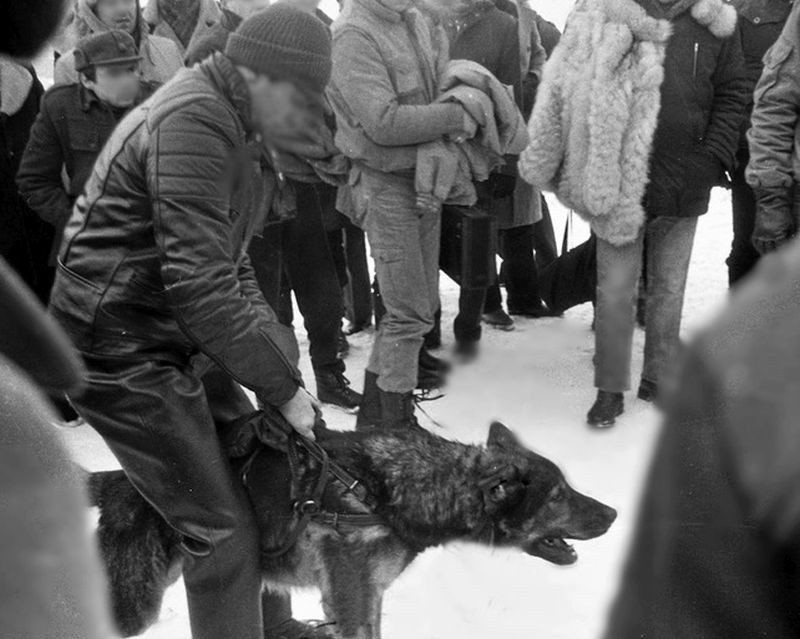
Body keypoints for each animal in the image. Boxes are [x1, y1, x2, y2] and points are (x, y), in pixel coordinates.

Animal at [92, 422, 620, 636]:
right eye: (558, 495)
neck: (385, 493)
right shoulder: (350, 604)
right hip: (138, 603)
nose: (615, 514)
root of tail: (117, 479)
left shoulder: (370, 598)